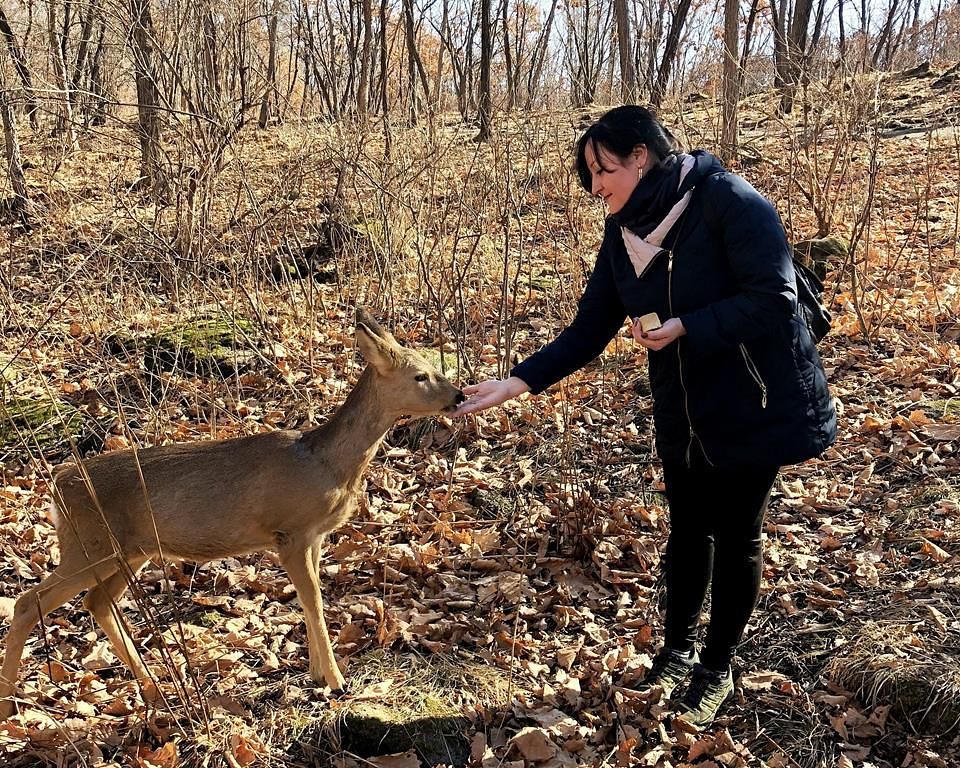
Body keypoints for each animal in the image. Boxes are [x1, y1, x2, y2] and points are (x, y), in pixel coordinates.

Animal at [0, 308, 464, 716]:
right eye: (420, 375)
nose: (459, 395)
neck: (327, 464)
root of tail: (57, 483)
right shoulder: (289, 531)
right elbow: (313, 600)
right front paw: (335, 681)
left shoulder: (314, 535)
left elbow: (310, 600)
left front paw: (318, 674)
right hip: (88, 543)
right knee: (27, 602)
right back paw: (9, 705)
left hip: (128, 550)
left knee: (98, 602)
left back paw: (152, 685)